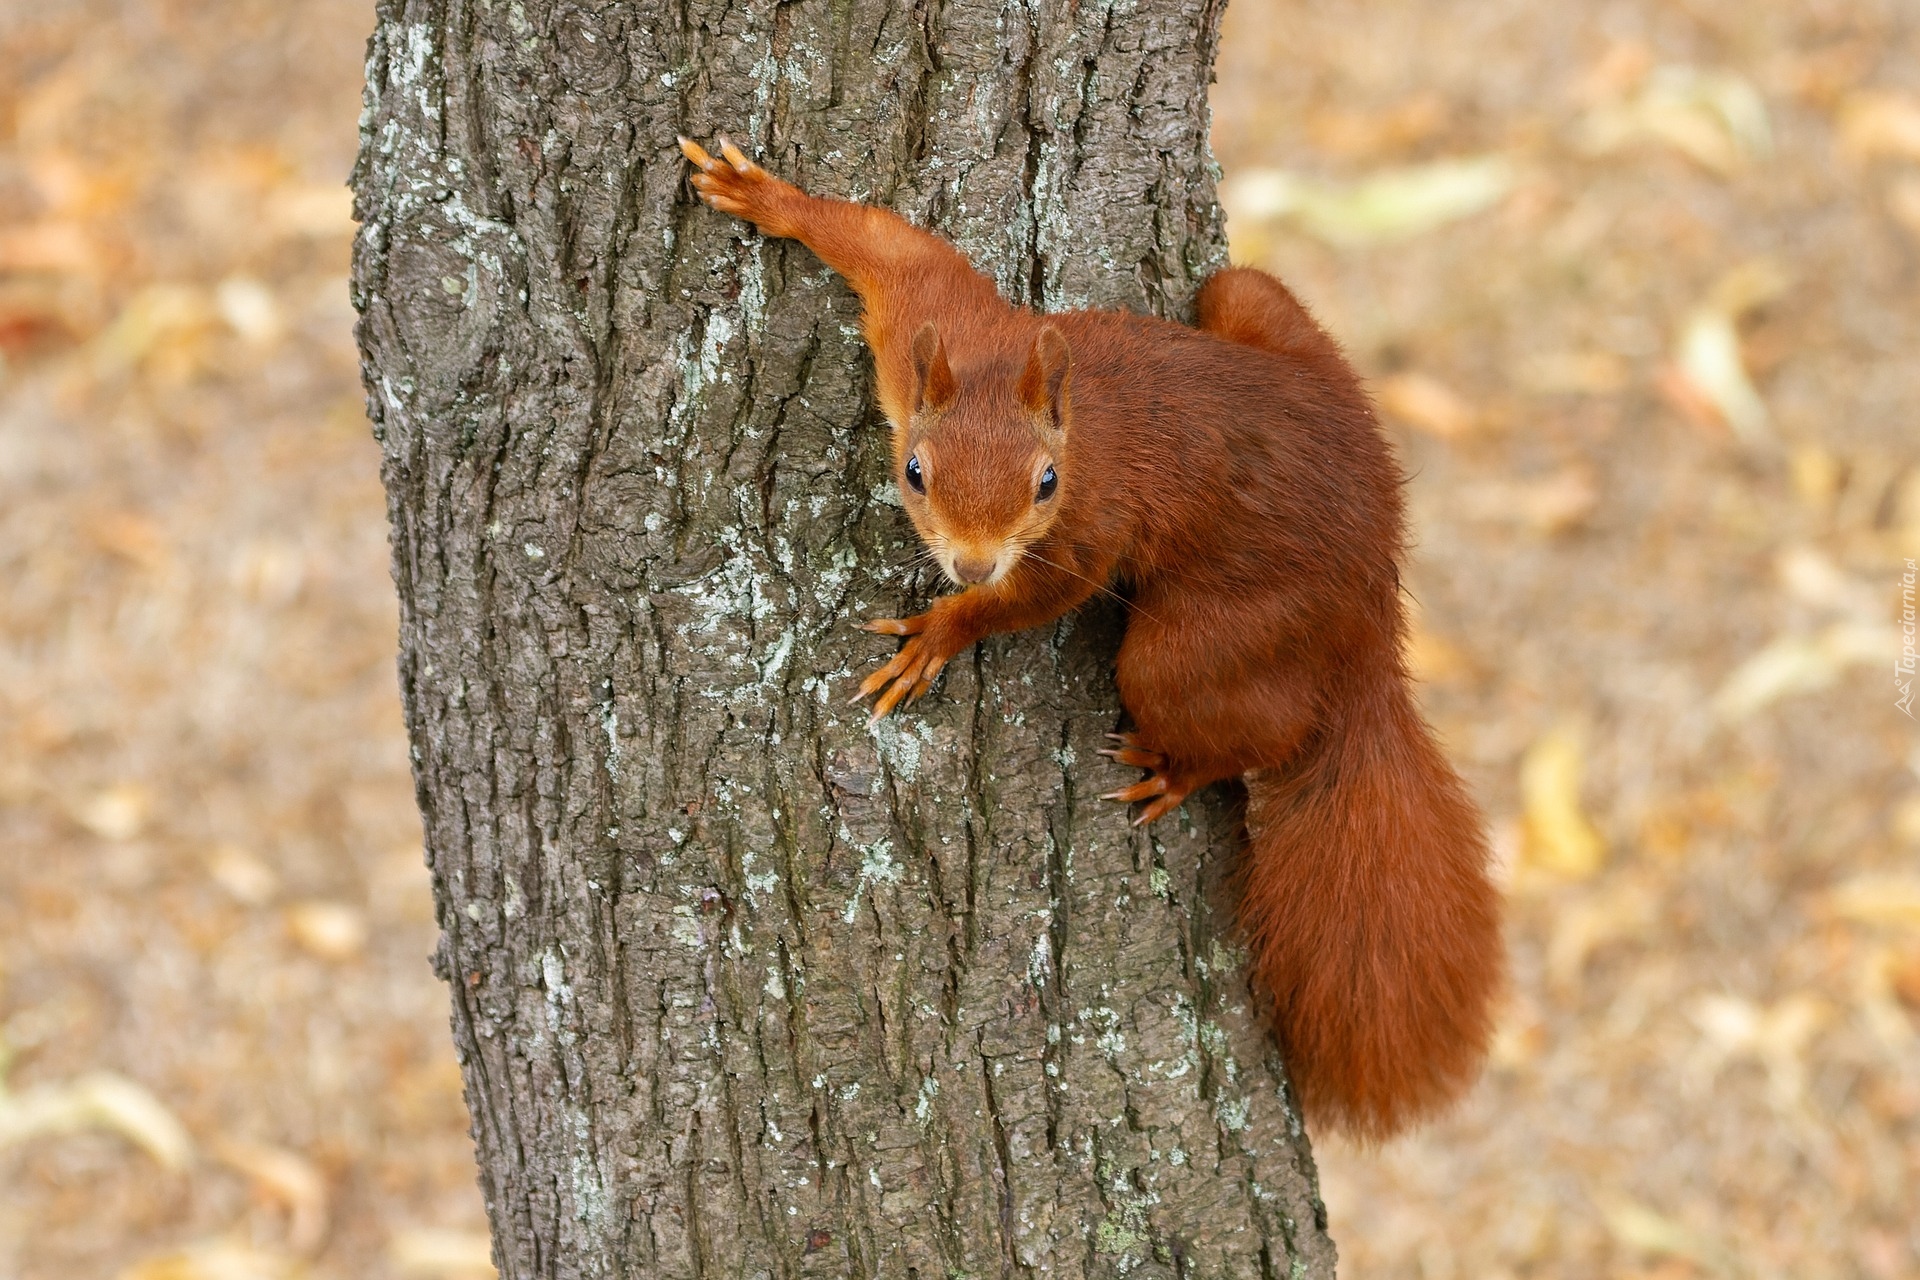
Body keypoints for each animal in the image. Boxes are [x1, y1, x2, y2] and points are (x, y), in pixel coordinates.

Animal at [683, 138, 1505, 1143]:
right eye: (914, 471)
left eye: (1046, 483)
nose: (969, 564)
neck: (1058, 421)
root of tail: (1373, 605)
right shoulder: (936, 320)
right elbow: (892, 245)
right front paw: (766, 197)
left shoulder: (1086, 528)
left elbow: (1041, 597)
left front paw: (941, 634)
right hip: (1252, 305)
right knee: (1243, 290)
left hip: (1200, 644)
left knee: (1250, 725)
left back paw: (1178, 769)